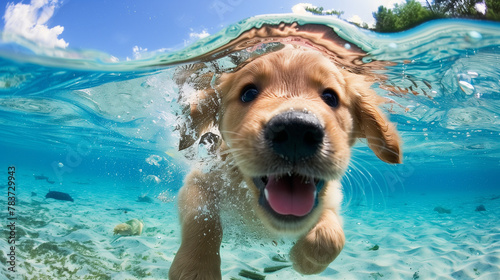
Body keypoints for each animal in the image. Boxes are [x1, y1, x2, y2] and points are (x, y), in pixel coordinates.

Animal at [170, 47, 400, 278]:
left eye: (330, 97)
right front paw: (196, 268)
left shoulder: (331, 198)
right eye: (248, 93)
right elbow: (202, 220)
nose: (295, 130)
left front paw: (303, 260)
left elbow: (330, 237)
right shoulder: (199, 181)